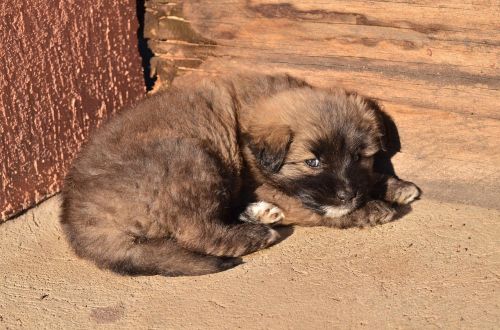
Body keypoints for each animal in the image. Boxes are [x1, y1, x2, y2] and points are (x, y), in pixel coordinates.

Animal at [60, 72, 420, 276]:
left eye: (359, 157)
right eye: (313, 162)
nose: (348, 196)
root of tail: (81, 223)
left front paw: (394, 185)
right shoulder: (268, 187)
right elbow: (316, 210)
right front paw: (369, 209)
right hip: (191, 157)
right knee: (197, 232)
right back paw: (257, 234)